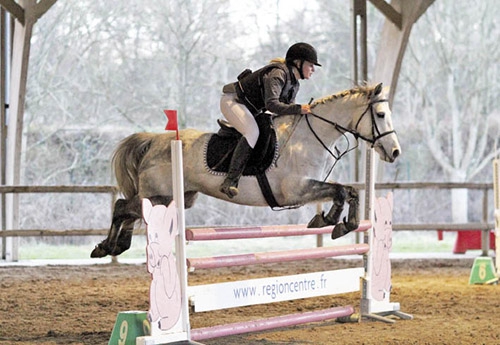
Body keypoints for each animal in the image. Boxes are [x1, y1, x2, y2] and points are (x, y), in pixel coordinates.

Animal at [91, 82, 402, 256]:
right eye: (381, 115)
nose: (395, 152)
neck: (309, 137)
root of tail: (155, 140)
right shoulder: (296, 190)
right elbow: (339, 191)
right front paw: (328, 220)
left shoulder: (308, 187)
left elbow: (348, 191)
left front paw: (342, 224)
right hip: (160, 196)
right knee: (122, 206)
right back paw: (105, 247)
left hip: (177, 198)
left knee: (131, 211)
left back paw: (116, 246)